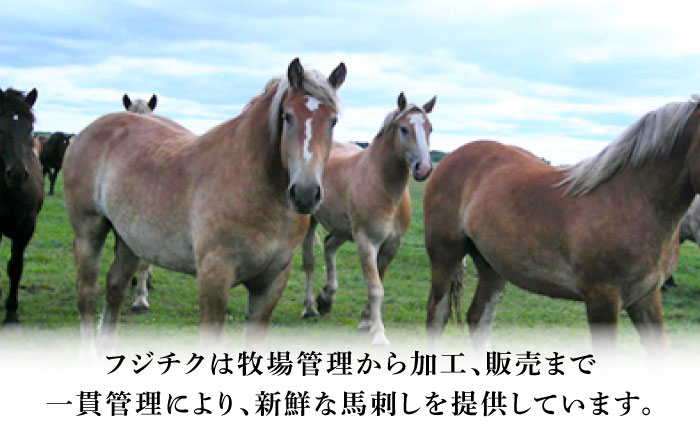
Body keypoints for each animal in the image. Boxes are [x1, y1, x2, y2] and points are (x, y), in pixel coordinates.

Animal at [63, 58, 346, 350]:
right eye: (287, 117)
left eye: (333, 121)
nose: (305, 193)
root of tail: (86, 133)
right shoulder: (214, 278)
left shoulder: (270, 284)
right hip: (89, 231)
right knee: (87, 295)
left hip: (130, 239)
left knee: (115, 289)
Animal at [301, 92, 435, 345]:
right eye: (404, 129)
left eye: (429, 128)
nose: (423, 169)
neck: (383, 186)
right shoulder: (366, 242)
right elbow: (375, 288)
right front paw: (379, 334)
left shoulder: (391, 245)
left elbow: (378, 281)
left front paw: (365, 322)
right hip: (311, 222)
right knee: (309, 263)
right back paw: (310, 308)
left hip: (343, 230)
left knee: (329, 246)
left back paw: (326, 299)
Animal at [424, 96, 700, 354]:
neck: (633, 199)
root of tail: (449, 159)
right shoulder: (602, 299)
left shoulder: (646, 297)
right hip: (445, 257)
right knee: (437, 316)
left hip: (492, 267)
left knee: (478, 318)